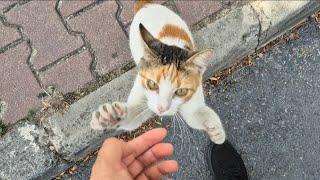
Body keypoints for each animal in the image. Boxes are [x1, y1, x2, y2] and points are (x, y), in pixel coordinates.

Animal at [90, 0, 225, 143]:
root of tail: (146, 4)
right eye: (152, 84)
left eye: (181, 91)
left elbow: (197, 114)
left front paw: (216, 130)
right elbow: (132, 117)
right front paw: (109, 116)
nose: (161, 109)